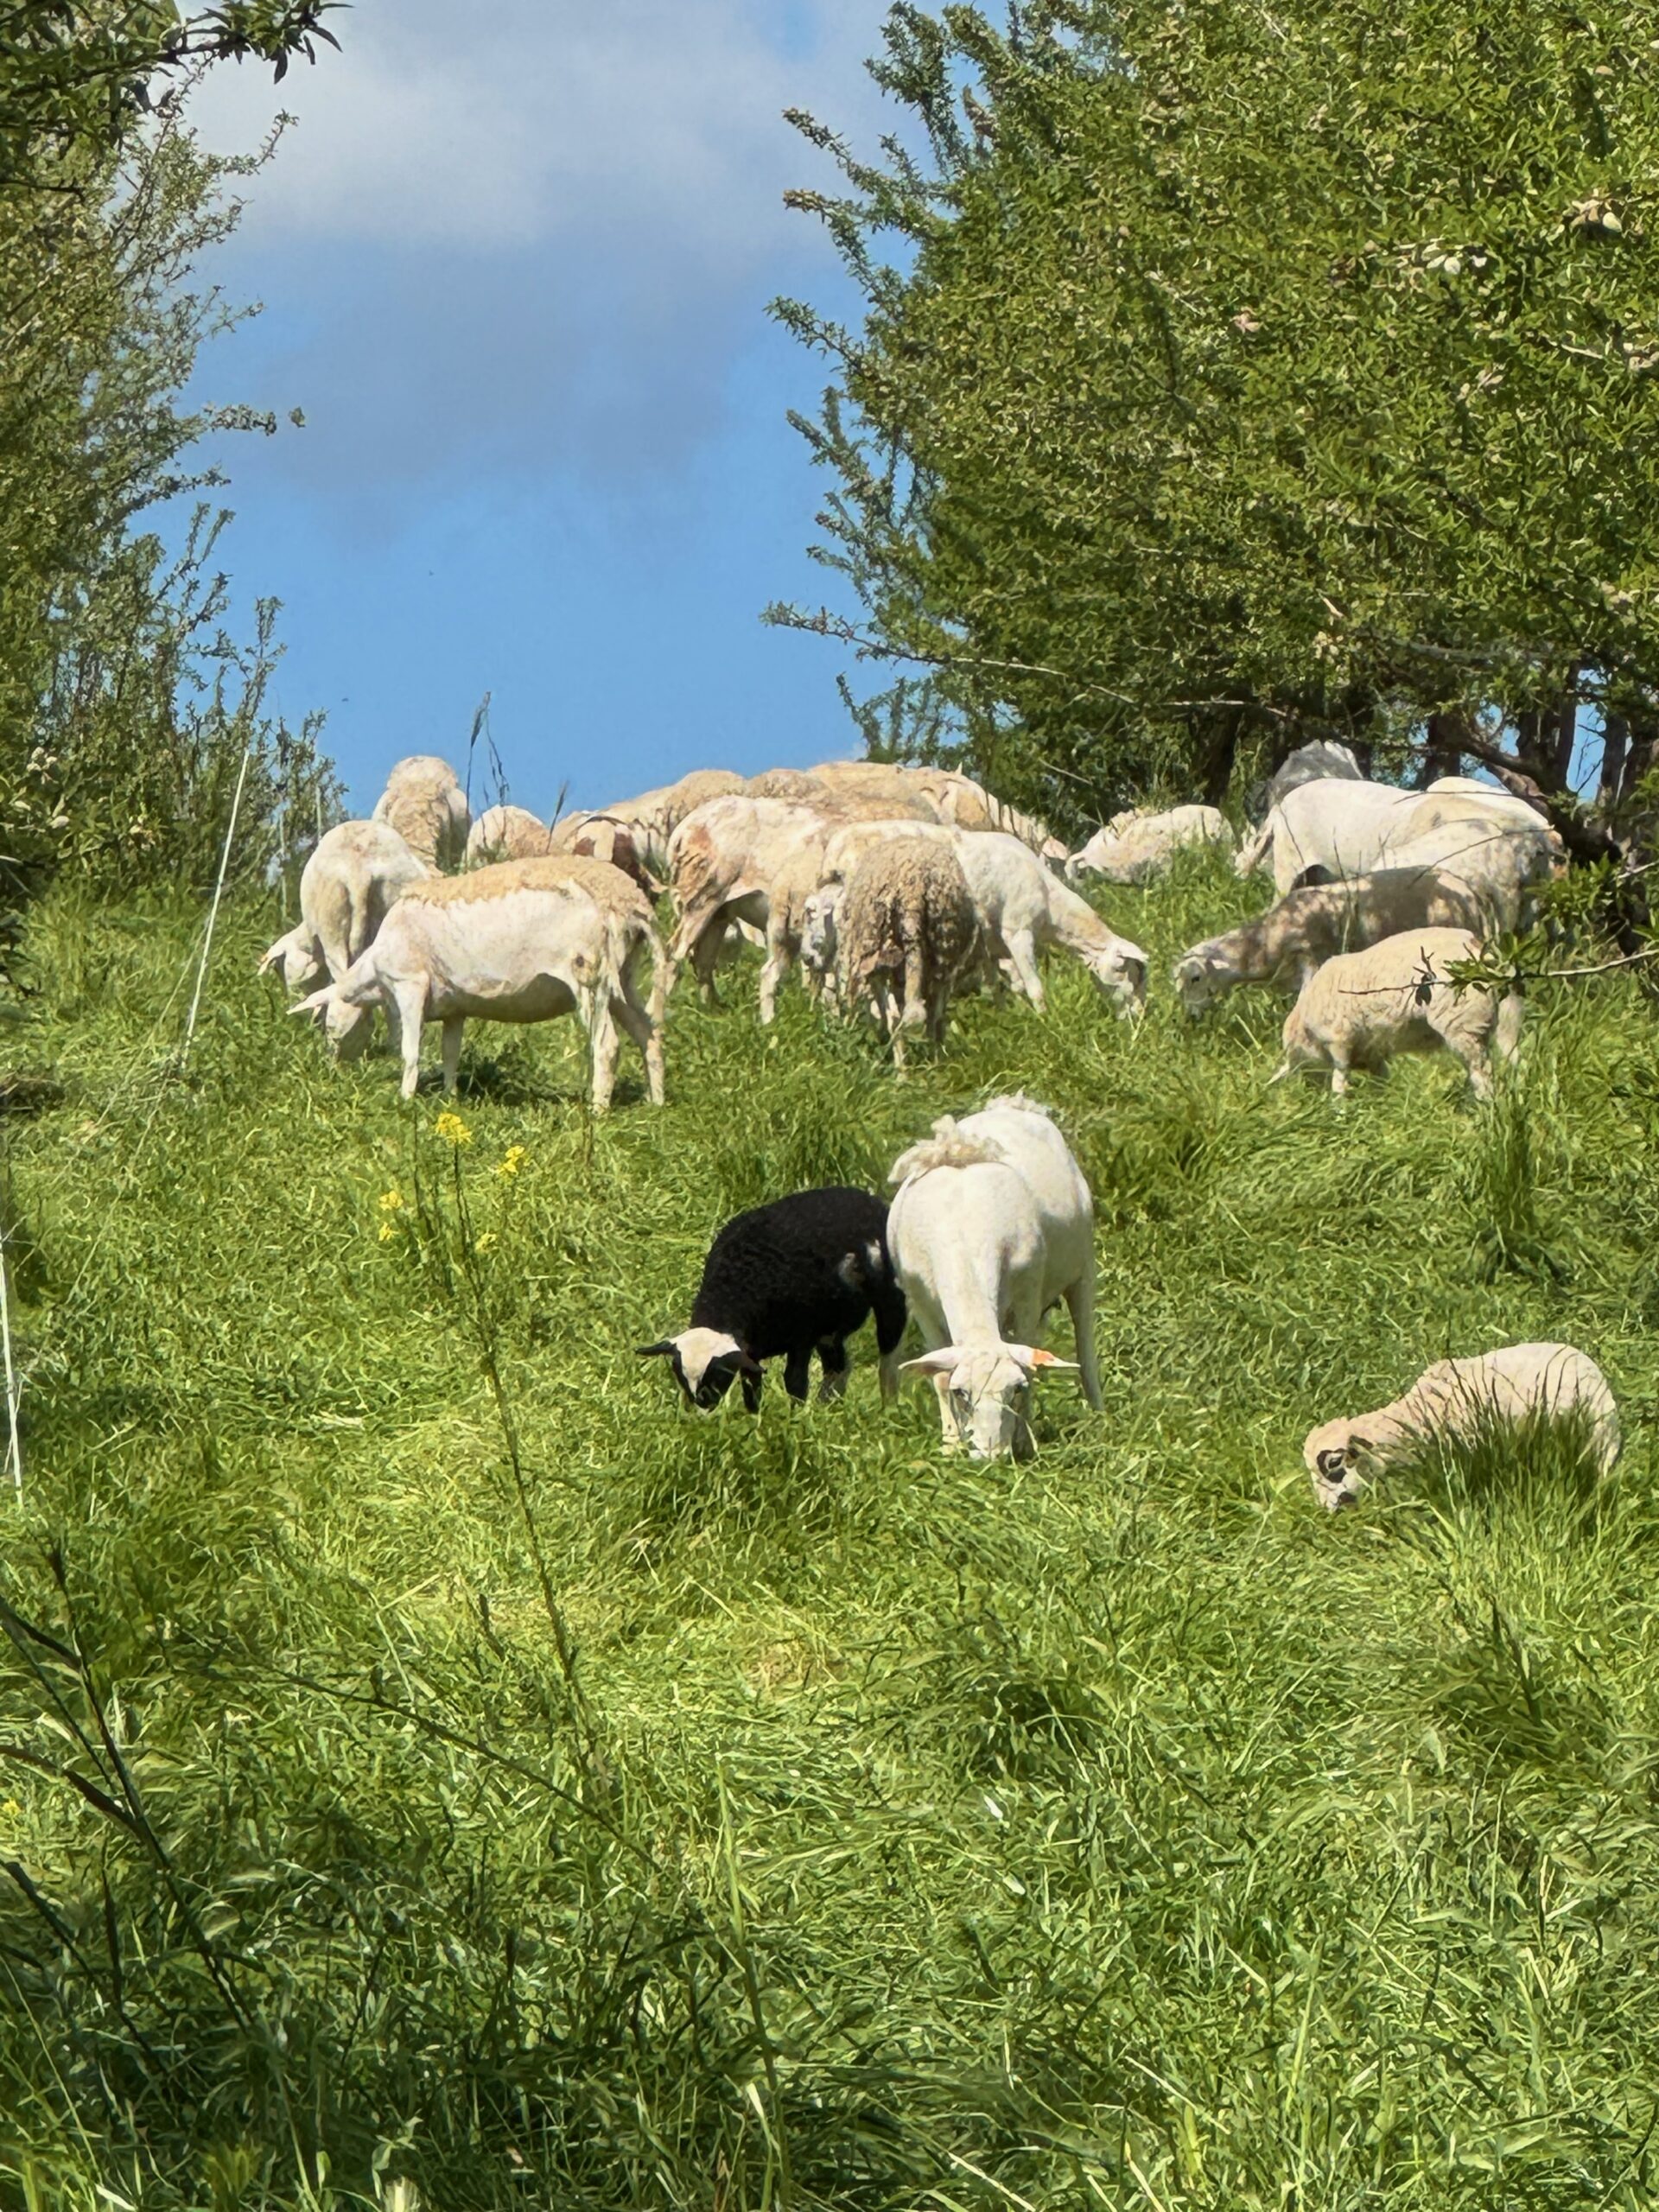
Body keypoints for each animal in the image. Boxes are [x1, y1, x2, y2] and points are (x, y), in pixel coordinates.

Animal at [294, 854, 666, 1110]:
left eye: (329, 1025)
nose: (332, 1069)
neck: (373, 974)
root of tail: (631, 903)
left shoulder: (410, 986)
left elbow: (410, 1051)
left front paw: (405, 1099)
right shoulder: (454, 1007)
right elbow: (450, 1054)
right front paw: (449, 1097)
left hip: (589, 976)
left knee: (607, 1045)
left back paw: (599, 1109)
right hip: (622, 978)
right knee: (649, 1034)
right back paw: (656, 1102)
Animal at [637, 1186, 907, 1407]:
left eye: (719, 1374)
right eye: (681, 1377)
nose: (703, 1407)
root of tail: (864, 1198)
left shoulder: (802, 1335)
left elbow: (795, 1382)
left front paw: (794, 1420)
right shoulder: (752, 1347)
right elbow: (751, 1381)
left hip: (889, 1300)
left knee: (889, 1361)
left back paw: (888, 1409)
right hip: (830, 1325)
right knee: (838, 1366)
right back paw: (829, 1407)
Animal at [834, 837, 980, 1066]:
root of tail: (914, 893)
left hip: (882, 949)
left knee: (896, 1017)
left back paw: (901, 1070)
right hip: (944, 948)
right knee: (935, 1014)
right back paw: (934, 1061)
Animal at [888, 1095, 1101, 1460]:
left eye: (1014, 1390)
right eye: (962, 1393)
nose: (991, 1458)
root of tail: (1015, 1105)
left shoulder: (1028, 1296)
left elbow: (1030, 1368)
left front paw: (1024, 1441)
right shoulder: (920, 1305)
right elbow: (939, 1378)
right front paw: (950, 1444)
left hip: (1082, 1268)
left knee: (1085, 1350)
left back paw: (1101, 1415)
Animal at [1273, 927, 1523, 1100]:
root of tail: (1483, 952)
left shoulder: (1339, 1040)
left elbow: (1340, 1077)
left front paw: (1339, 1108)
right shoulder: (1370, 1052)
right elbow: (1381, 1079)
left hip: (1462, 1023)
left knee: (1482, 1073)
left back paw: (1485, 1107)